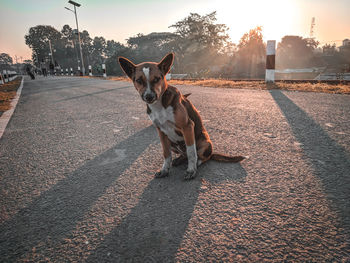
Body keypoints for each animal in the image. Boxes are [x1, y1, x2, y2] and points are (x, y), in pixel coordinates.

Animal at [119, 53, 245, 182]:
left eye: (157, 79)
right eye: (139, 80)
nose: (149, 97)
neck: (160, 105)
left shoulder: (187, 127)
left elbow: (191, 152)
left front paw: (191, 170)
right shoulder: (161, 132)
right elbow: (166, 154)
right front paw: (165, 170)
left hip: (205, 142)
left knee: (202, 157)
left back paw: (196, 163)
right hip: (172, 143)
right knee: (183, 155)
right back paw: (179, 160)